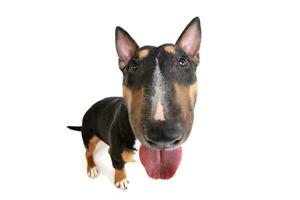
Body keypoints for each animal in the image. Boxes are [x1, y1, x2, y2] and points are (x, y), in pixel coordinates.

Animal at [68, 16, 202, 189]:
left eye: (183, 61)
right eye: (133, 66)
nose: (163, 135)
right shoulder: (115, 153)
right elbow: (118, 166)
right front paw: (121, 180)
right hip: (89, 134)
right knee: (87, 152)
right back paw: (91, 167)